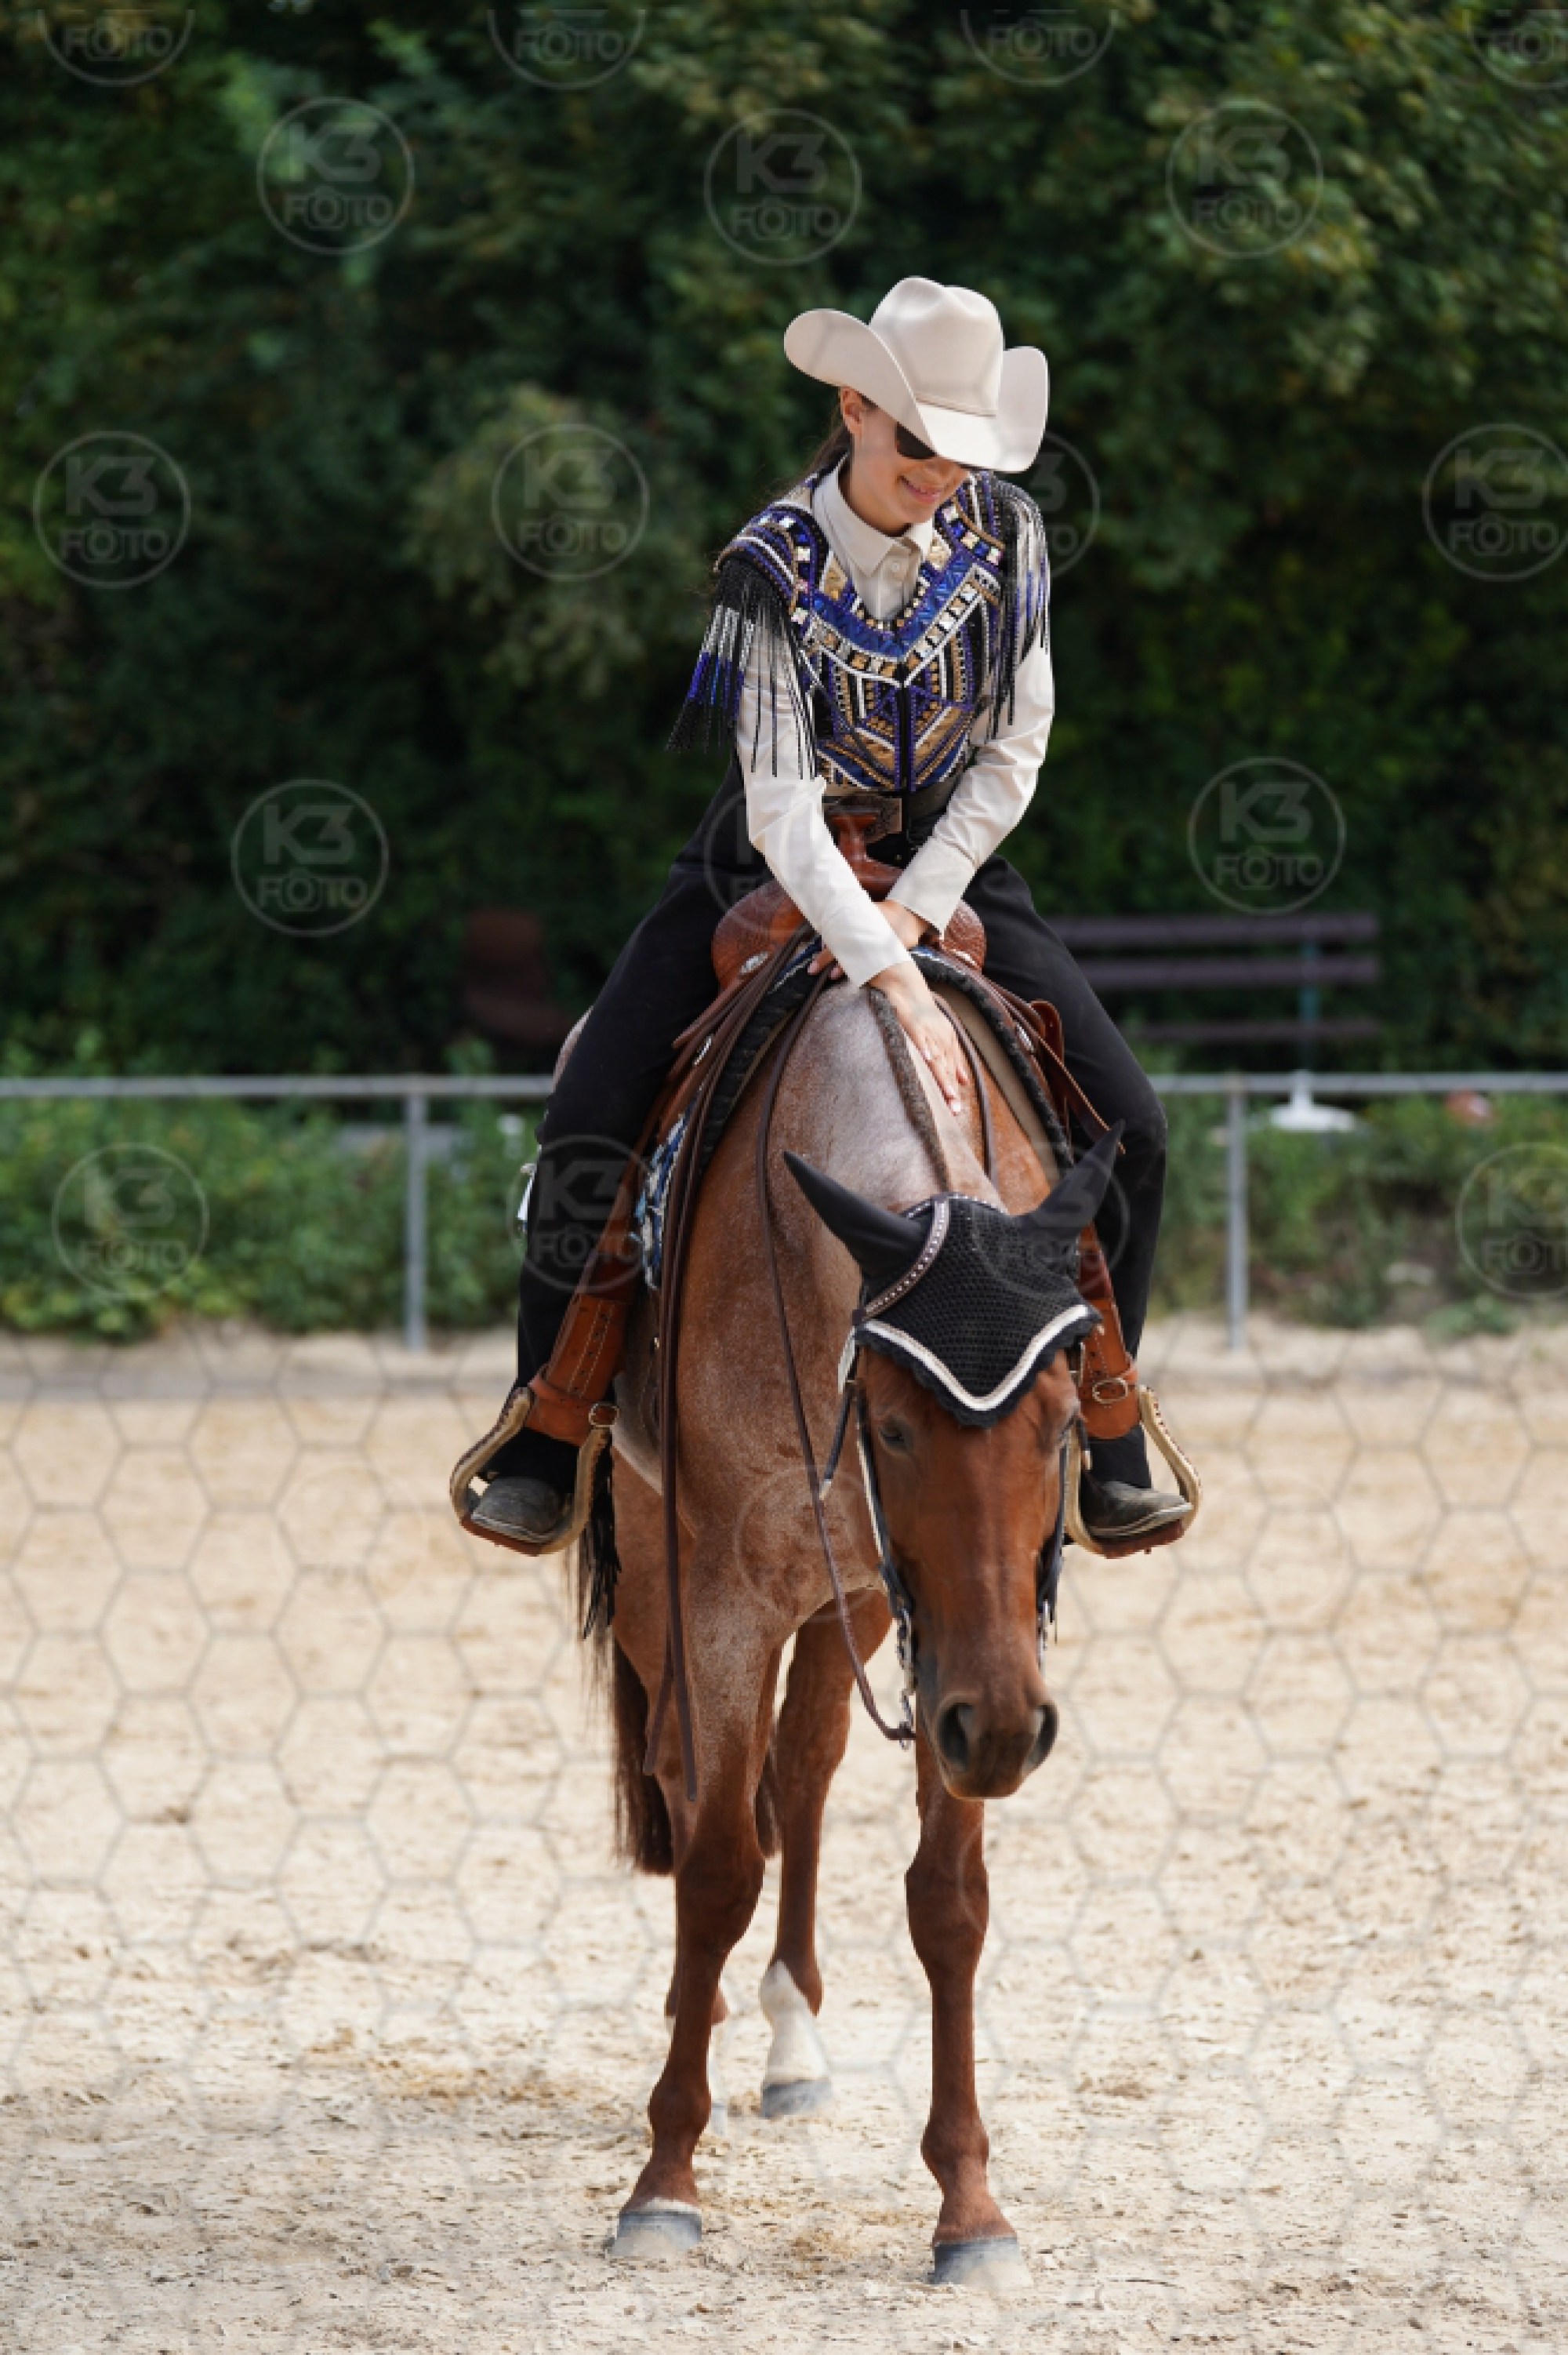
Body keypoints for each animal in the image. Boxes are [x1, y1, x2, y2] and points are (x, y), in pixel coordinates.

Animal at [583, 972, 1118, 2291]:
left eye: (1066, 1412)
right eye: (890, 1422)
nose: (1008, 1729)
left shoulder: (957, 1649)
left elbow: (949, 1899)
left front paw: (971, 2204)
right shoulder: (720, 1591)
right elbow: (719, 1865)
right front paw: (665, 2178)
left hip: (855, 1604)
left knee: (806, 1766)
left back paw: (790, 2040)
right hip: (664, 1571)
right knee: (694, 1771)